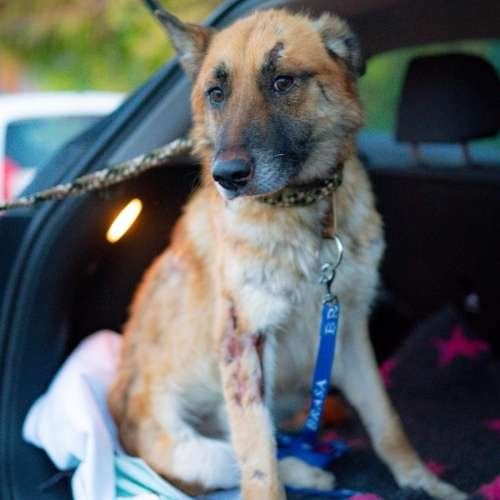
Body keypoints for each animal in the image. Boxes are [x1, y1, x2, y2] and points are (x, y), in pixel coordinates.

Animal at [108, 7, 466, 499]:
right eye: (216, 93)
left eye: (282, 82)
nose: (227, 176)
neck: (301, 208)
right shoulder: (245, 347)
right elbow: (259, 465)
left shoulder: (348, 333)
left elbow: (386, 422)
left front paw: (422, 481)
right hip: (200, 452)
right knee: (242, 457)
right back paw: (307, 471)